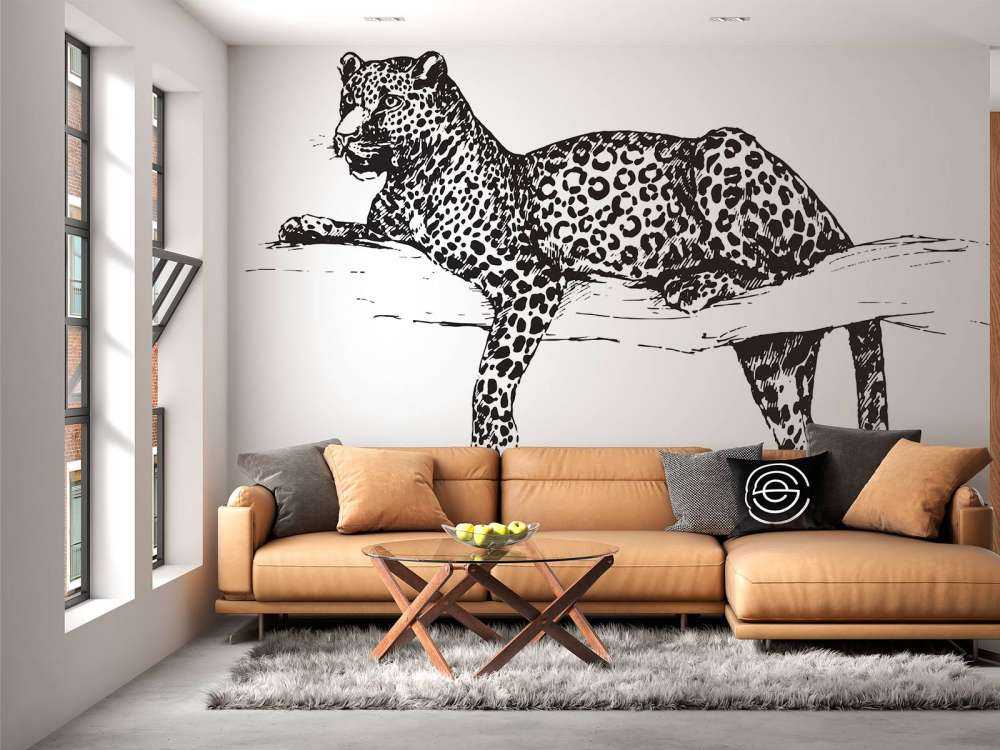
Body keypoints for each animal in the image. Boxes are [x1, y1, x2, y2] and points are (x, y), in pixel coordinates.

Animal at [278, 50, 889, 450]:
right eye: (346, 101)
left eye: (385, 103)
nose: (343, 138)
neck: (410, 181)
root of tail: (829, 215)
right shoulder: (389, 235)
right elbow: (349, 226)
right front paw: (302, 223)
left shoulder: (530, 278)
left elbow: (492, 372)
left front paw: (495, 435)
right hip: (774, 364)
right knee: (793, 426)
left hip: (726, 152)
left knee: (777, 264)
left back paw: (691, 278)